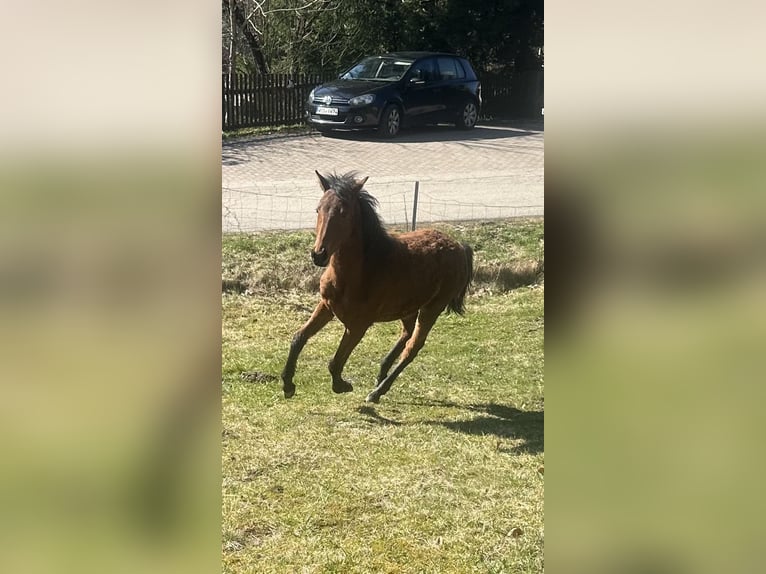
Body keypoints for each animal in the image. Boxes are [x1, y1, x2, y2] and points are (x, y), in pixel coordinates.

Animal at [281, 171, 474, 403]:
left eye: (343, 212)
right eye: (318, 209)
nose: (319, 254)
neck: (359, 273)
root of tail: (460, 247)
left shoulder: (358, 326)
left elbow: (335, 362)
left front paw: (342, 385)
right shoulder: (327, 306)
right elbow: (298, 338)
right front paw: (288, 385)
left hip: (432, 308)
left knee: (413, 347)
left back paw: (378, 391)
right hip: (408, 307)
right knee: (407, 333)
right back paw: (381, 373)